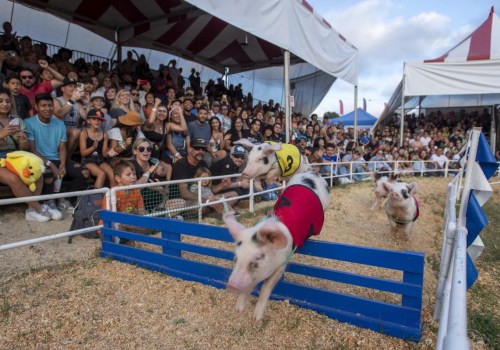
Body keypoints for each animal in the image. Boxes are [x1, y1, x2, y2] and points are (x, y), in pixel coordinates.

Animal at [225, 171, 330, 322]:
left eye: (258, 257)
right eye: (235, 258)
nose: (231, 285)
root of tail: (311, 173)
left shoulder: (282, 264)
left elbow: (266, 287)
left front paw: (256, 319)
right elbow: (251, 284)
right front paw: (239, 310)